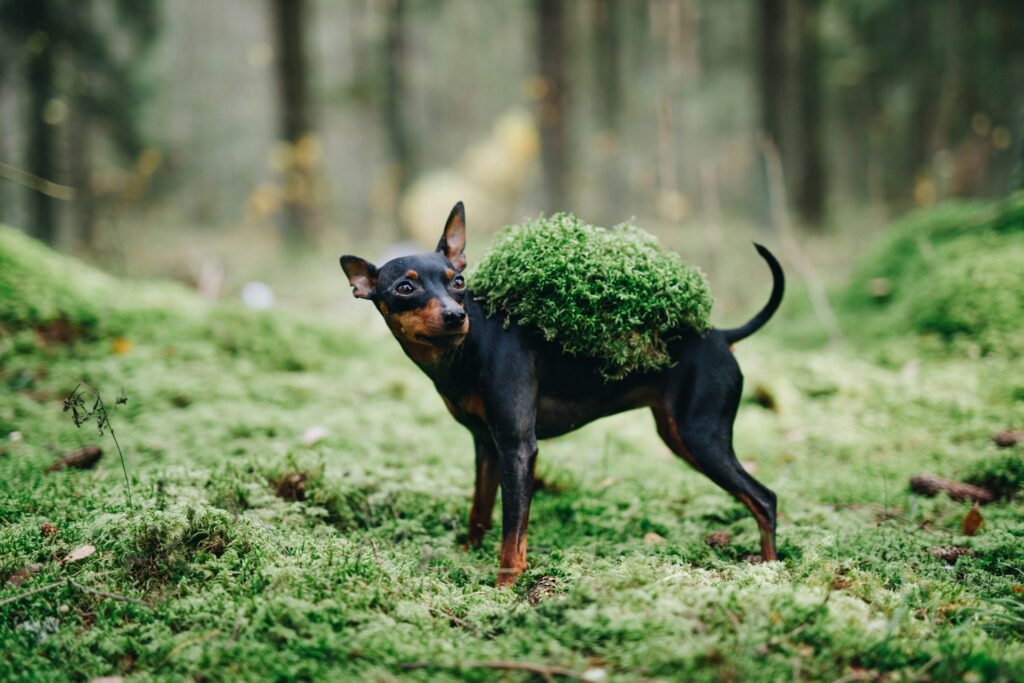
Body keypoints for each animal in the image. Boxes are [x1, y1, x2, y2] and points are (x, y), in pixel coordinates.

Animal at [344, 202, 782, 589]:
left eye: (458, 282)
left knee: (765, 499)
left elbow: (512, 531)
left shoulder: (518, 448)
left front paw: (505, 587)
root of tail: (722, 335)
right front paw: (467, 555)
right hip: (679, 435)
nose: (456, 315)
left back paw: (770, 570)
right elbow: (479, 511)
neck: (466, 349)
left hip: (699, 436)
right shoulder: (487, 446)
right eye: (405, 288)